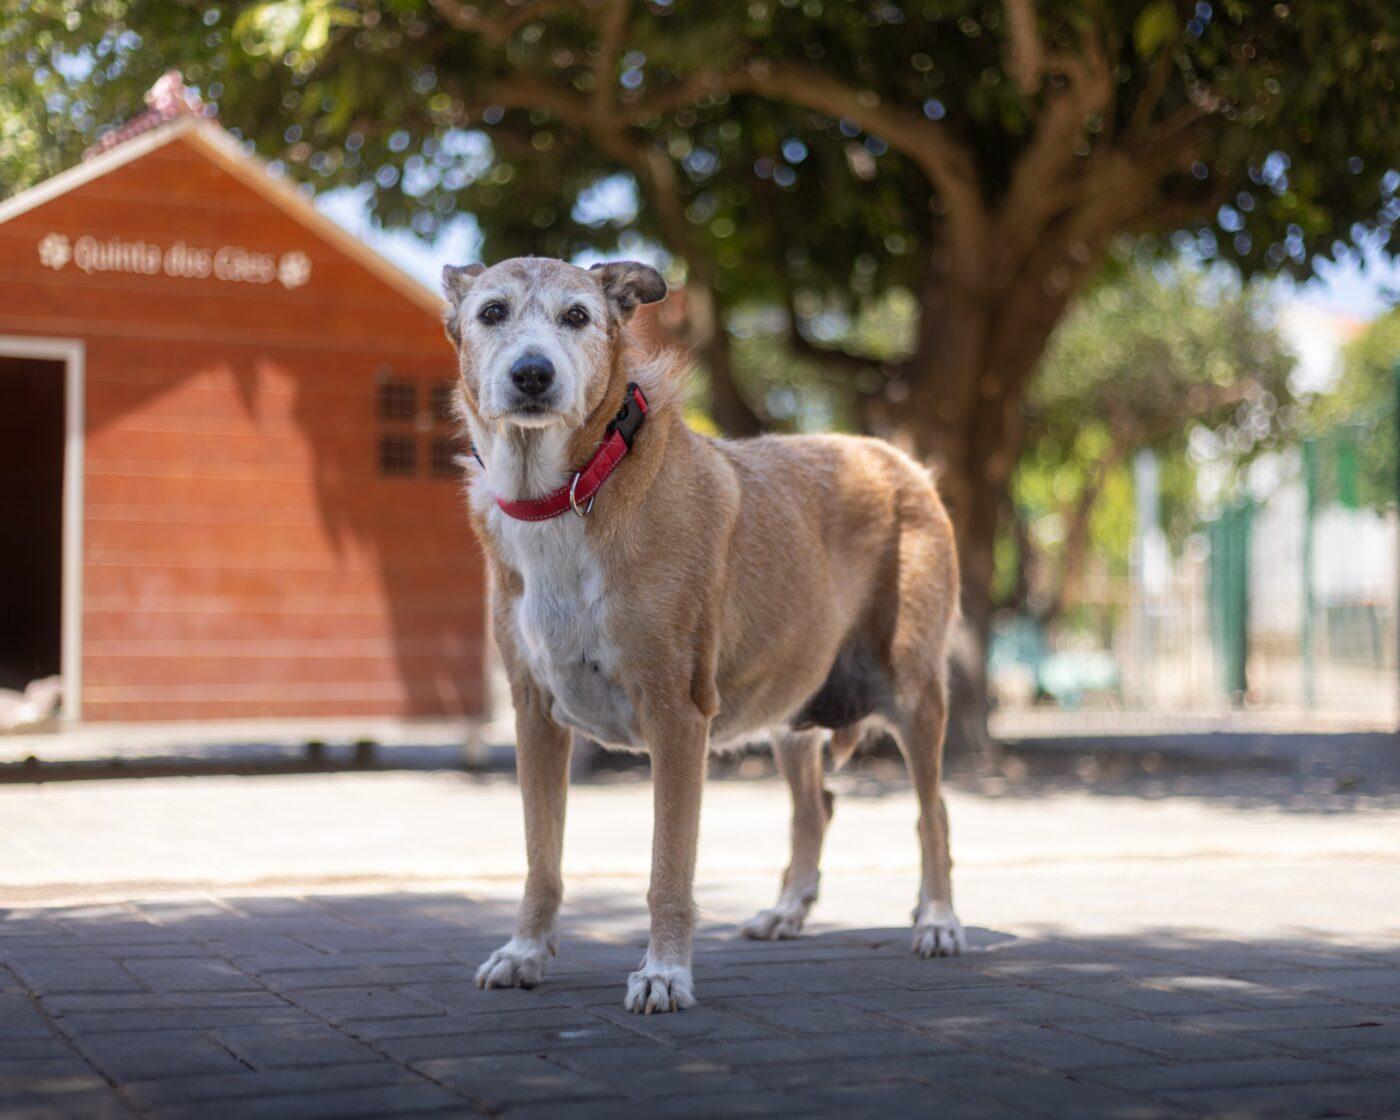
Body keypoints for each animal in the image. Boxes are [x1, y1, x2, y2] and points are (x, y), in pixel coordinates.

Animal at [443, 256, 963, 1014]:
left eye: (577, 316)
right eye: (492, 313)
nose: (533, 373)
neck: (569, 490)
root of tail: (902, 463)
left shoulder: (675, 714)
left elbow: (669, 868)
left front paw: (664, 971)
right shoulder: (534, 713)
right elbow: (542, 857)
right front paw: (525, 951)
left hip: (915, 694)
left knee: (933, 815)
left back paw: (939, 920)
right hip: (792, 703)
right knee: (817, 807)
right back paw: (787, 910)